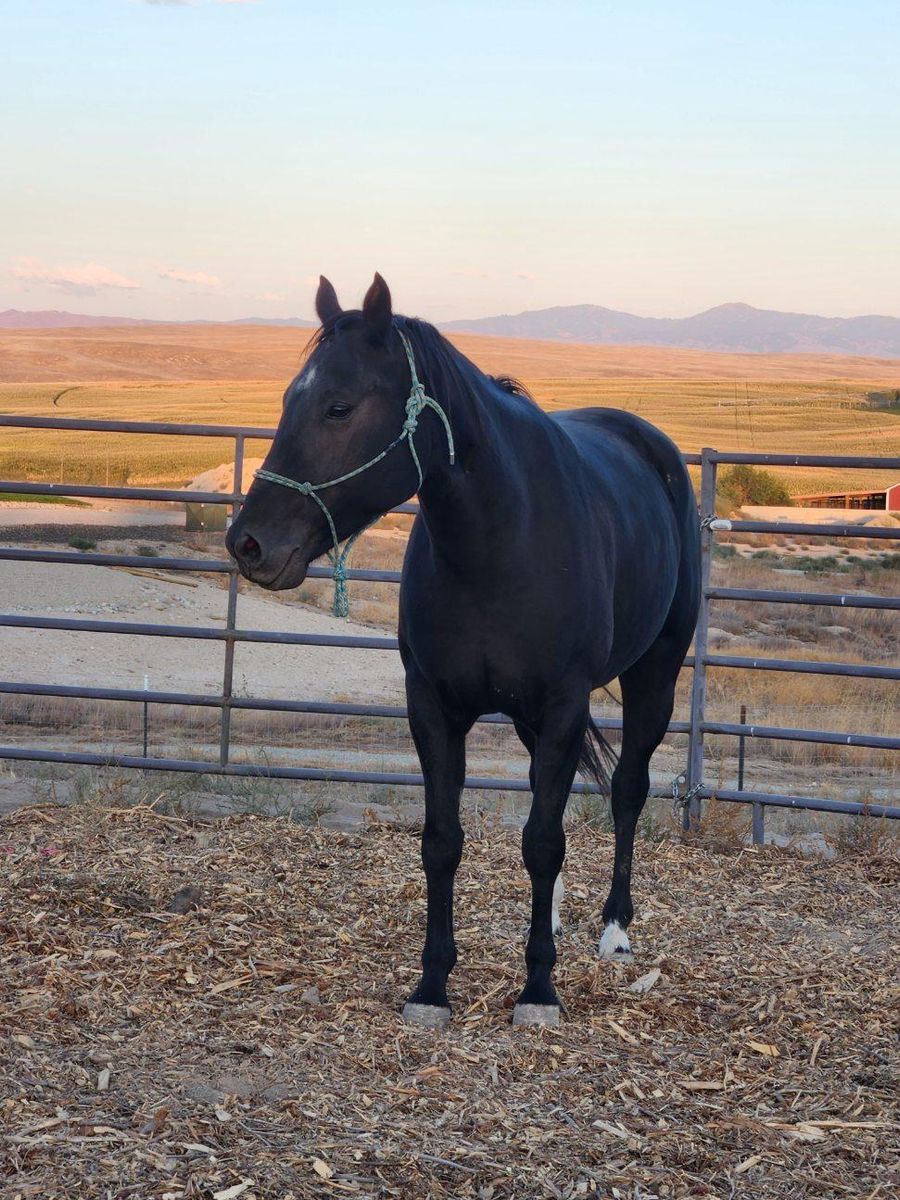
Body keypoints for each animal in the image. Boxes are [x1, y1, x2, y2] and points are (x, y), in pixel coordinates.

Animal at [227, 273, 700, 1028]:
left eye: (339, 406)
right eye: (287, 402)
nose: (248, 543)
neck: (500, 541)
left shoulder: (564, 705)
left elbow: (542, 840)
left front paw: (538, 989)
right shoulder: (434, 706)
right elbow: (444, 841)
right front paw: (432, 985)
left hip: (654, 672)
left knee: (627, 790)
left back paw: (614, 930)